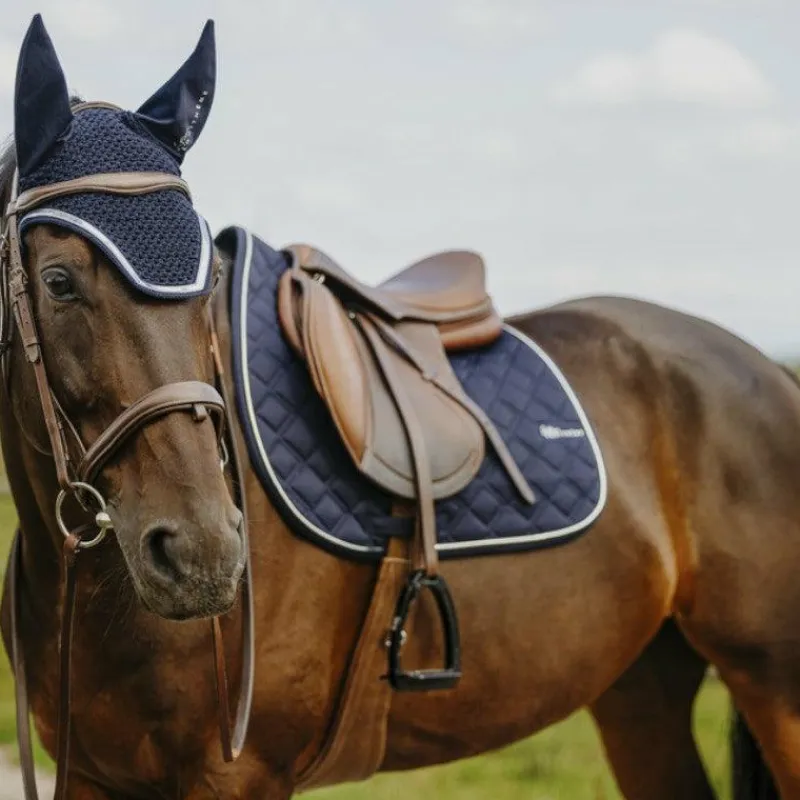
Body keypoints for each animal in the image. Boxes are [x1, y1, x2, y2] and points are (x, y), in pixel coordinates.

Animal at [0, 12, 796, 800]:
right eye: (60, 281)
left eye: (207, 279)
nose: (203, 553)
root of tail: (766, 370)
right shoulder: (93, 776)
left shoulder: (239, 778)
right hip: (640, 687)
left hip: (772, 685)